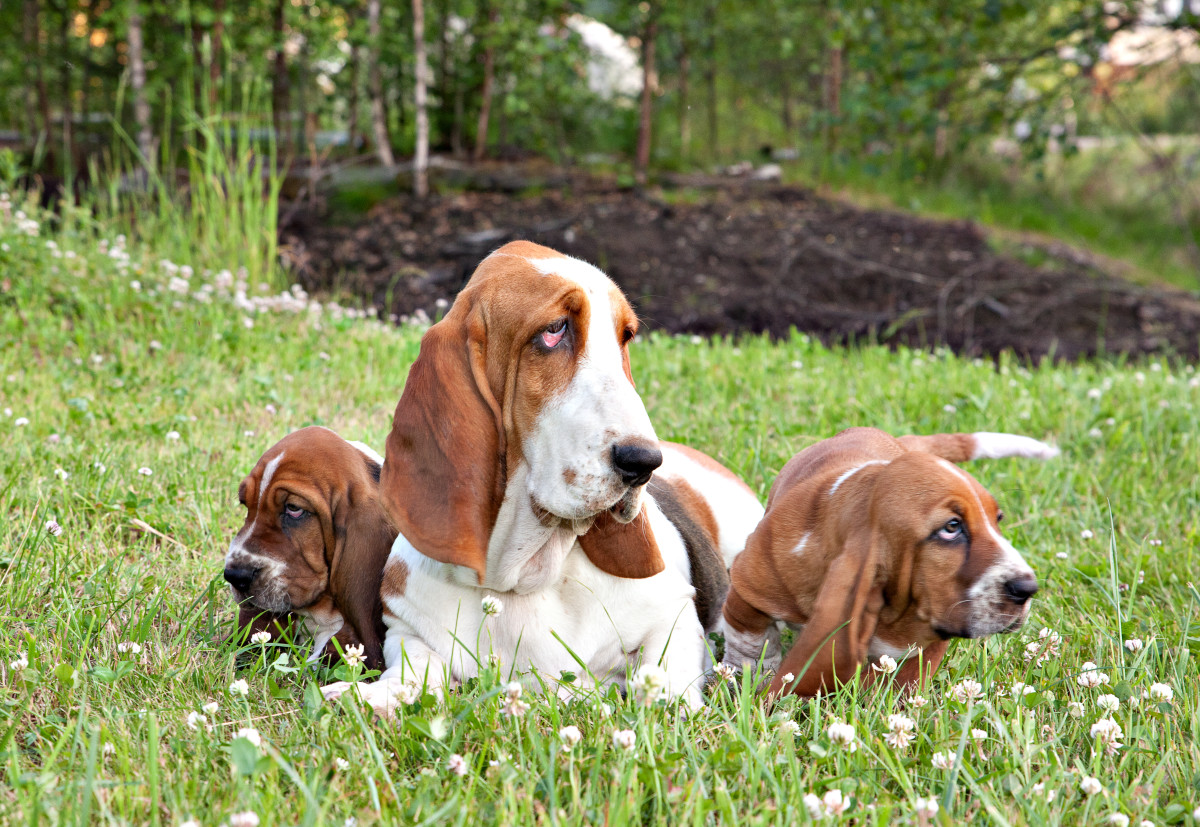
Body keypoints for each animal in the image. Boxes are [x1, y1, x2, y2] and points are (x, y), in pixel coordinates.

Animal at [324, 242, 763, 710]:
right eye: (555, 330)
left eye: (626, 335)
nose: (645, 462)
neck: (519, 580)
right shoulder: (407, 630)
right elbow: (412, 671)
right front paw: (369, 697)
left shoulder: (675, 615)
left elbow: (664, 685)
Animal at [715, 424, 1056, 696]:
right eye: (951, 527)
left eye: (997, 521)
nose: (1027, 589)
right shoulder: (747, 589)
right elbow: (749, 640)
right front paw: (752, 676)